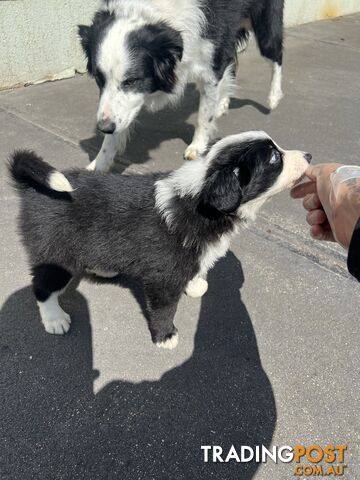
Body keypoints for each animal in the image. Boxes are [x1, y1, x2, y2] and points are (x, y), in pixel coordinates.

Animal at [9, 131, 310, 348]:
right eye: (275, 159)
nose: (308, 154)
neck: (203, 199)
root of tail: (32, 188)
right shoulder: (163, 278)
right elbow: (165, 309)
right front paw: (165, 336)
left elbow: (195, 270)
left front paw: (196, 285)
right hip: (56, 253)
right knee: (43, 287)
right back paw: (54, 319)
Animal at [79, 0, 284, 172]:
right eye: (99, 78)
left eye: (132, 80)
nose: (104, 127)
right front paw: (99, 164)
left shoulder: (209, 49)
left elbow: (204, 113)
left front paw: (197, 147)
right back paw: (222, 103)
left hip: (264, 23)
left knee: (274, 54)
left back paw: (274, 97)